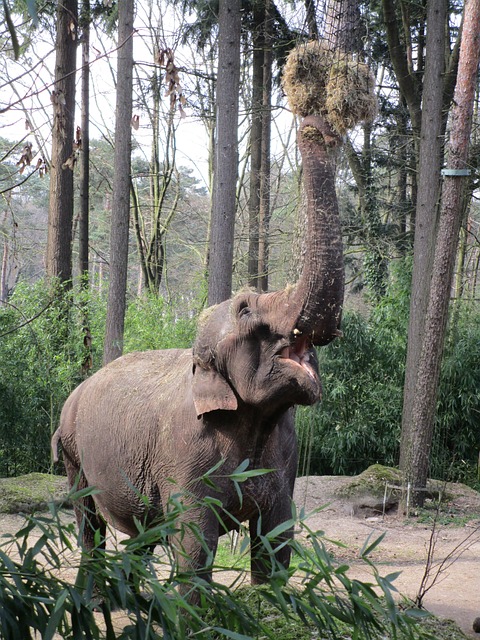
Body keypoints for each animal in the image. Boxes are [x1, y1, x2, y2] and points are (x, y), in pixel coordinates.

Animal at [51, 112, 344, 592]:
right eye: (245, 308)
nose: (315, 122)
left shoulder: (285, 458)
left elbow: (276, 540)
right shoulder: (185, 453)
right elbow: (193, 545)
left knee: (143, 535)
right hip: (74, 454)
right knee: (89, 526)